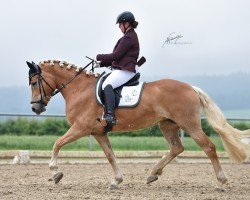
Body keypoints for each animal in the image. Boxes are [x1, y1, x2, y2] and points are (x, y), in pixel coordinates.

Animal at [26, 59, 250, 189]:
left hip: (189, 124)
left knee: (208, 146)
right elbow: (110, 155)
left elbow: (57, 143)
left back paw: (221, 180)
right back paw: (153, 174)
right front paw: (117, 180)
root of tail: (190, 87)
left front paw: (55, 172)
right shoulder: (99, 132)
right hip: (168, 124)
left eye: (35, 83)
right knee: (177, 148)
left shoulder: (81, 128)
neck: (78, 89)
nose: (35, 108)